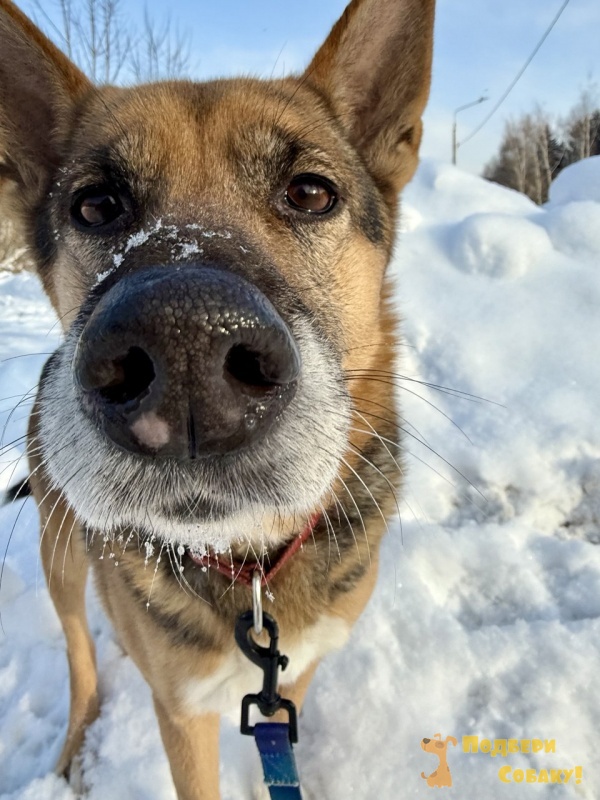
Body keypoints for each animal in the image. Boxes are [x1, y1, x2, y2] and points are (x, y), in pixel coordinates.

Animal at [0, 0, 435, 796]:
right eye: (97, 205)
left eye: (310, 193)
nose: (188, 349)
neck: (249, 562)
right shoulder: (183, 711)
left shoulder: (294, 676)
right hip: (59, 549)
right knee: (80, 655)